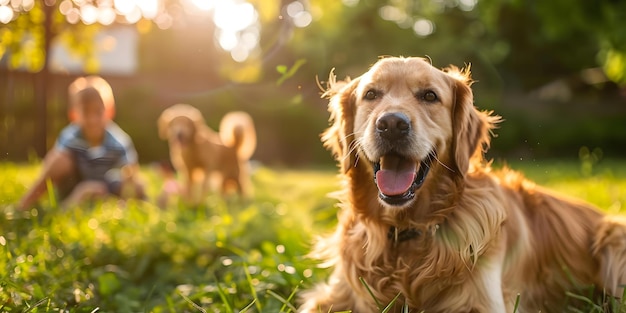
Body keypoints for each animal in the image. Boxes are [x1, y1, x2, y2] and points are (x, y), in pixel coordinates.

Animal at [298, 56, 624, 312]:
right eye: (371, 94)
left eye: (430, 96)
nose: (392, 124)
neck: (405, 236)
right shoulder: (331, 295)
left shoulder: (481, 302)